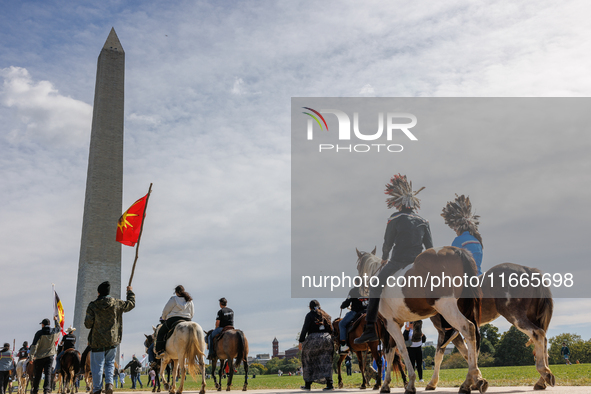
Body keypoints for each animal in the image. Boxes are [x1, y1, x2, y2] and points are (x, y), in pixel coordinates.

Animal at [356, 246, 486, 394]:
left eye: (358, 266)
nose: (360, 289)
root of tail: (454, 250)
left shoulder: (389, 324)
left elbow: (401, 350)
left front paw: (409, 383)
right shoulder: (396, 323)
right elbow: (390, 353)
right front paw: (386, 384)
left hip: (446, 306)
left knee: (467, 328)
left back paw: (469, 381)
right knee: (470, 341)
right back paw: (473, 380)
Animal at [426, 264, 556, 390]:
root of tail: (528, 270)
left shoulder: (445, 331)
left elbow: (443, 356)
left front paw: (433, 382)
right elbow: (468, 354)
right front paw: (475, 380)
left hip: (515, 314)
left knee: (537, 334)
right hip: (534, 317)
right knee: (543, 343)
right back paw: (543, 380)